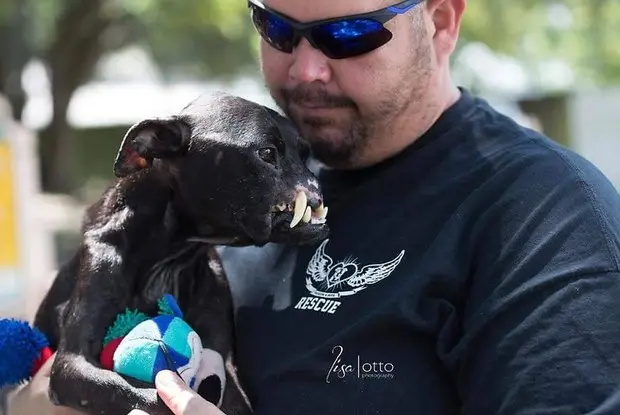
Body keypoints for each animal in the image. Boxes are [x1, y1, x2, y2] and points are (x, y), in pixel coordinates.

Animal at [31, 93, 330, 415]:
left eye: (305, 155)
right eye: (267, 153)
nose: (317, 191)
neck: (169, 258)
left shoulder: (223, 362)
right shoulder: (71, 366)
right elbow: (150, 396)